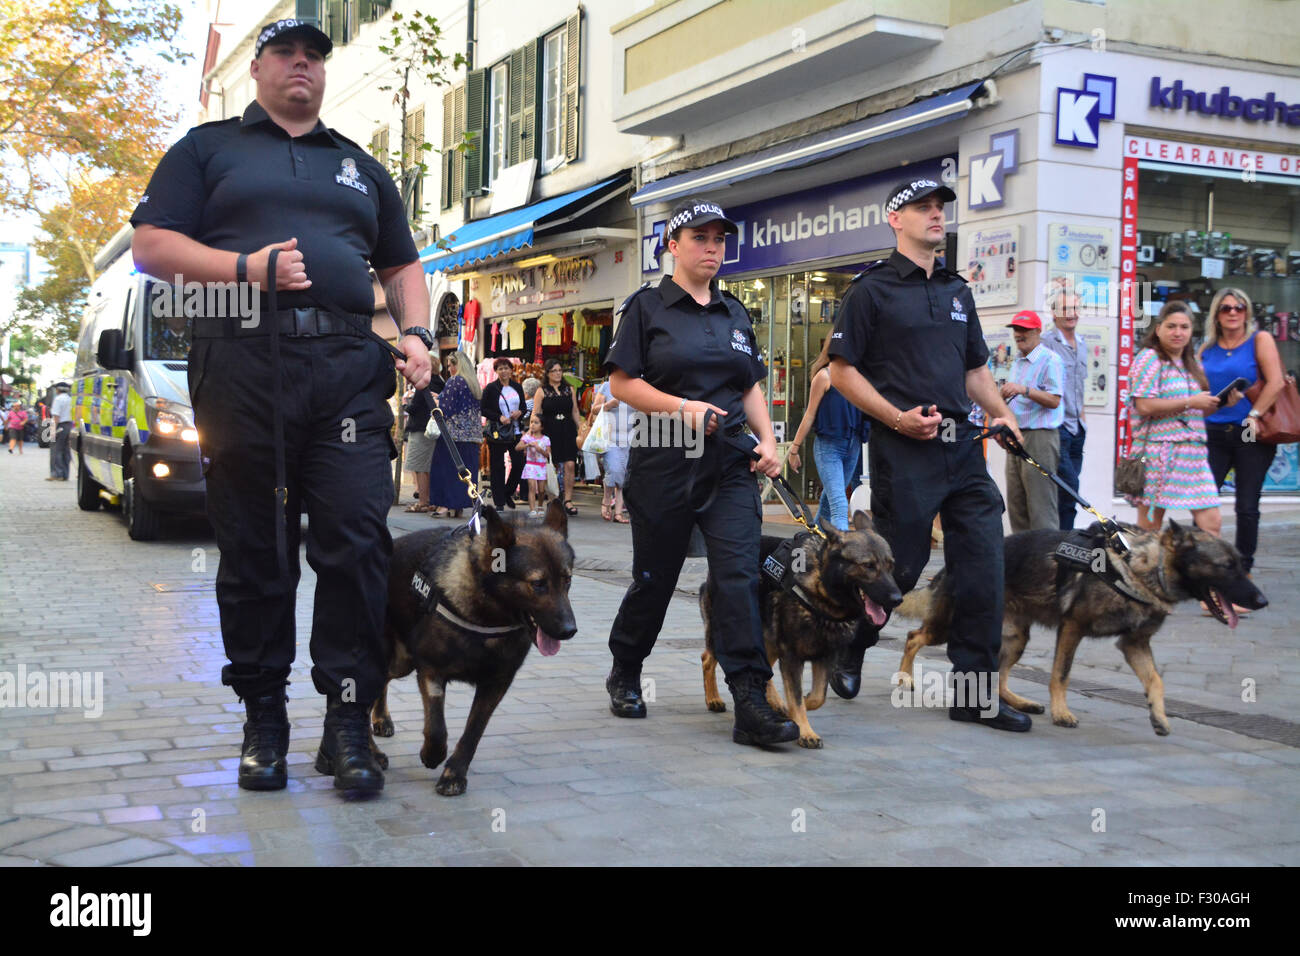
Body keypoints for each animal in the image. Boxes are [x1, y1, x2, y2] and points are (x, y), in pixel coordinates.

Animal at [371, 496, 574, 796]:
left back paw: (380, 719)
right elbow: (436, 727)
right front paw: (432, 754)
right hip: (396, 657)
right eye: (537, 584)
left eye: (567, 579)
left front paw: (454, 773)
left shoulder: (495, 684)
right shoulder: (431, 672)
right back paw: (372, 753)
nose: (570, 631)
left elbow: (473, 732)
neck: (487, 614)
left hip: (401, 662)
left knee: (381, 684)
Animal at [702, 512, 904, 749]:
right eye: (868, 565)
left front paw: (799, 710)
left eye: (890, 566)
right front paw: (805, 730)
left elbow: (817, 697)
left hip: (769, 639)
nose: (897, 599)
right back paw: (713, 698)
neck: (823, 591)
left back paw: (775, 703)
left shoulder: (825, 656)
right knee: (707, 659)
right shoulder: (792, 657)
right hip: (732, 631)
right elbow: (796, 697)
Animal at [894, 522, 1268, 733]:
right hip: (948, 627)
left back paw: (1019, 705)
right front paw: (1062, 713)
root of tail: (950, 565)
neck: (1138, 568)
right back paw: (905, 678)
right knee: (914, 637)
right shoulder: (1072, 628)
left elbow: (1156, 681)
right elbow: (1061, 675)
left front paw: (1159, 716)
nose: (1262, 601)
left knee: (998, 677)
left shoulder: (1134, 644)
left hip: (1015, 638)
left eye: (1240, 564)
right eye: (1227, 566)